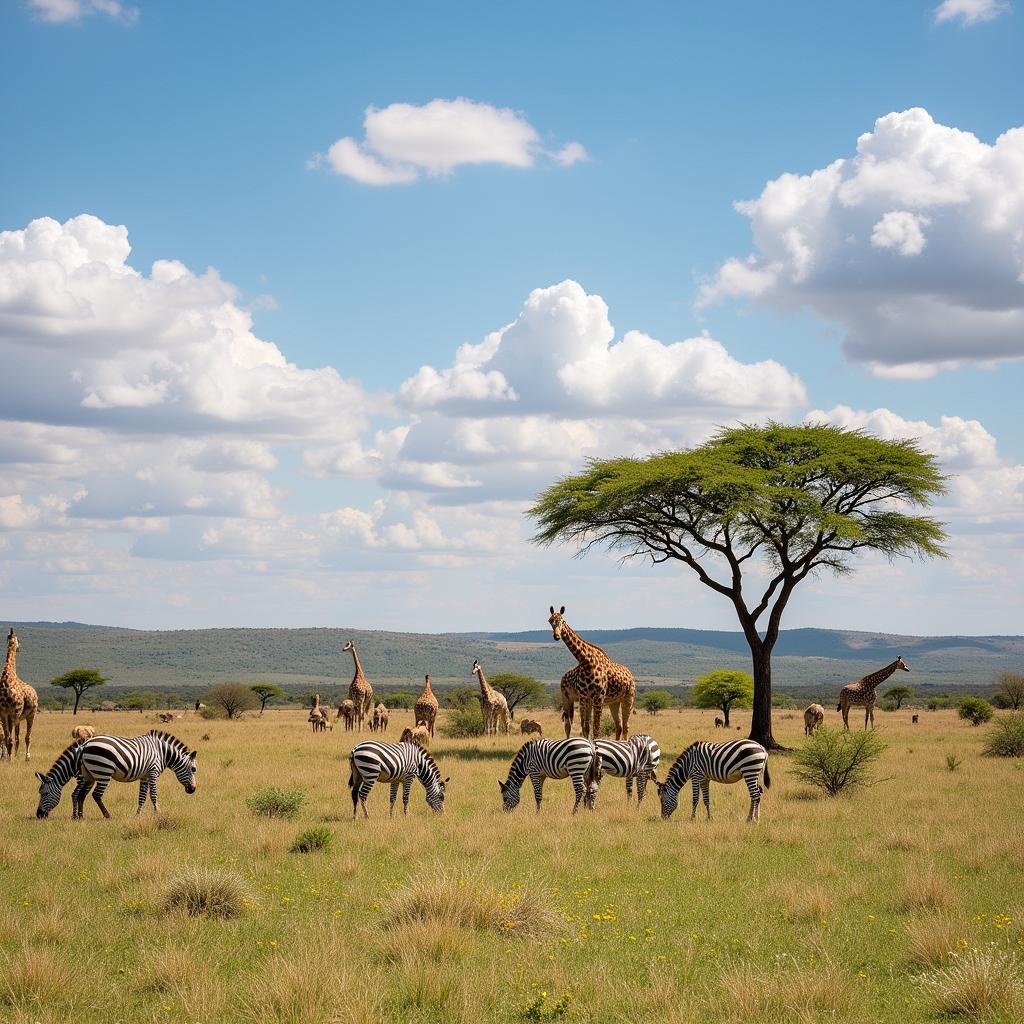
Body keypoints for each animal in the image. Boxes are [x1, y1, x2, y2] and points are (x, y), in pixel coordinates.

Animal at [0, 622, 39, 761]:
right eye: (19, 640)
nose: (18, 648)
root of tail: (35, 693)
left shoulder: (14, 713)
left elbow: (13, 738)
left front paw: (11, 758)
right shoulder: (4, 713)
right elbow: (8, 738)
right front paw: (9, 758)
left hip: (31, 714)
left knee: (27, 737)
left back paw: (27, 757)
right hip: (20, 716)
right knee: (17, 737)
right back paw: (16, 756)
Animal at [552, 602, 630, 741]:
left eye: (562, 621)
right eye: (550, 621)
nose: (556, 636)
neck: (586, 662)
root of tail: (630, 674)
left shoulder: (598, 697)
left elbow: (596, 729)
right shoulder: (584, 697)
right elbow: (586, 727)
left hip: (628, 697)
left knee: (625, 725)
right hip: (610, 701)